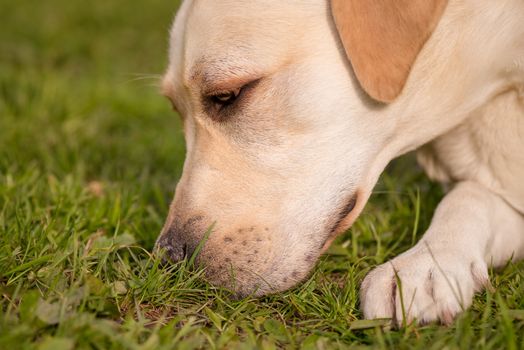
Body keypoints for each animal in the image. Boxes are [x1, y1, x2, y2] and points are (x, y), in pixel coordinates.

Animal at [155, 0, 524, 326]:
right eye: (175, 110)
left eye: (229, 94)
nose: (170, 257)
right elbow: (469, 195)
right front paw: (428, 264)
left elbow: (465, 197)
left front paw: (423, 266)